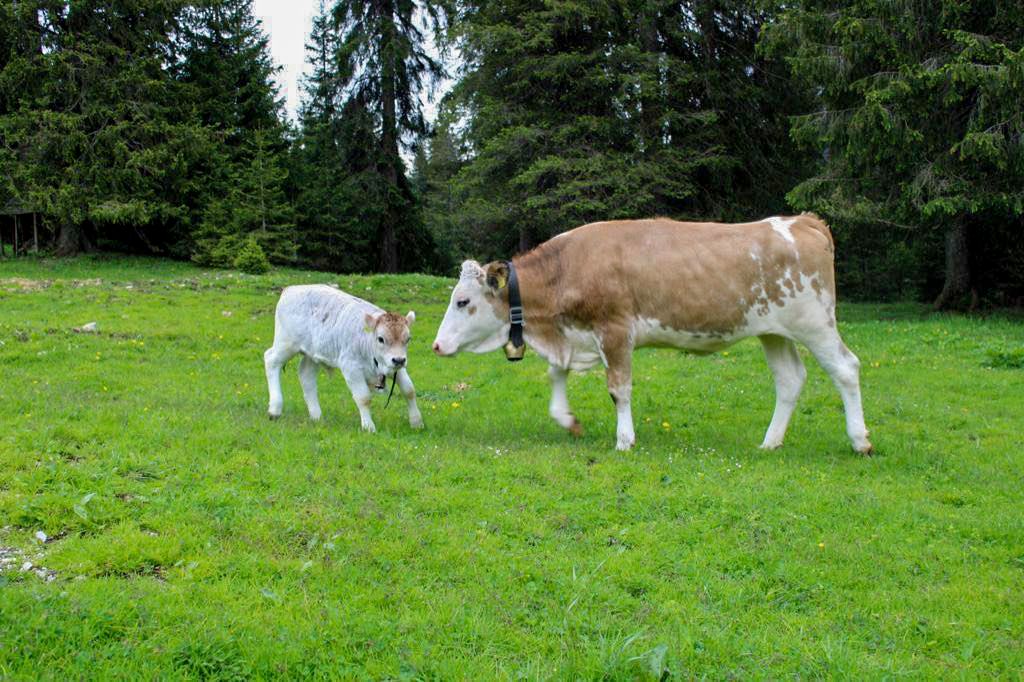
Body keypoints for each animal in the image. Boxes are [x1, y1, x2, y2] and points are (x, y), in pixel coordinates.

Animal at [268, 284, 423, 428]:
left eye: (408, 339)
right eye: (380, 339)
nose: (399, 360)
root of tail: (291, 289)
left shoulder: (395, 367)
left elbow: (409, 390)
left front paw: (417, 422)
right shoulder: (351, 367)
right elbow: (363, 397)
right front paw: (368, 426)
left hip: (312, 353)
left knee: (306, 375)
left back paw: (317, 416)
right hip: (286, 343)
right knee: (271, 360)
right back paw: (275, 409)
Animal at [432, 212, 872, 450]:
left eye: (463, 301)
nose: (436, 345)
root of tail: (801, 220)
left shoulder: (615, 330)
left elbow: (618, 389)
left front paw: (624, 439)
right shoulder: (575, 336)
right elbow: (556, 374)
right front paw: (568, 420)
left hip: (815, 322)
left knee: (846, 368)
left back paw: (860, 440)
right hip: (774, 331)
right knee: (790, 380)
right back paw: (770, 442)